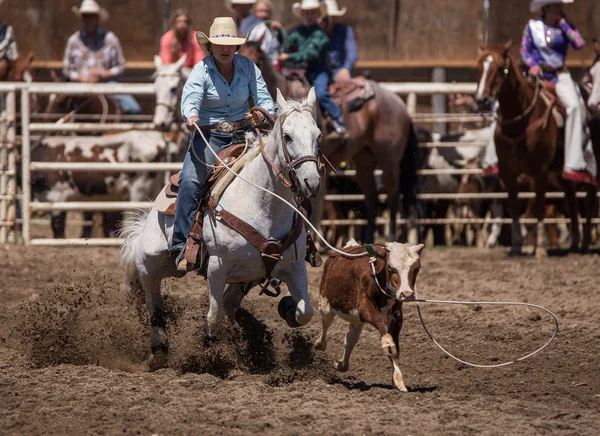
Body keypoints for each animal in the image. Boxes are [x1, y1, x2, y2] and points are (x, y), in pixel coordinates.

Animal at [120, 88, 324, 354]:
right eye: (287, 137)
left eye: (318, 135)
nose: (311, 182)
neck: (263, 204)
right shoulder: (217, 267)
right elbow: (213, 317)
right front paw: (209, 351)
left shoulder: (295, 265)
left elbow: (305, 312)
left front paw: (288, 308)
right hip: (150, 264)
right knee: (154, 301)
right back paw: (159, 347)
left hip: (248, 277)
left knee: (230, 302)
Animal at [238, 40, 418, 242]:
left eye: (258, 60)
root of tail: (399, 102)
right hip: (363, 159)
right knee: (371, 196)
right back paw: (368, 239)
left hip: (389, 158)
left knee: (393, 194)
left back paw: (391, 236)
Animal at [314, 240, 422, 394]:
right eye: (391, 268)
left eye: (416, 268)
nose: (406, 294)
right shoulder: (365, 310)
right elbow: (383, 329)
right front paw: (387, 344)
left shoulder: (396, 316)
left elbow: (395, 347)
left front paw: (398, 380)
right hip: (325, 302)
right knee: (326, 323)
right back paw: (320, 344)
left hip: (356, 321)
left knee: (350, 339)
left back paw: (341, 364)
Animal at [476, 42, 596, 254]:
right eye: (479, 67)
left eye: (500, 68)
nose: (482, 100)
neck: (520, 121)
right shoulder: (508, 172)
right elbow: (515, 207)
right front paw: (517, 246)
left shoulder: (539, 171)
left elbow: (539, 207)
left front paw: (539, 248)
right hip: (561, 171)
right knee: (572, 197)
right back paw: (575, 241)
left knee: (588, 199)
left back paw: (585, 242)